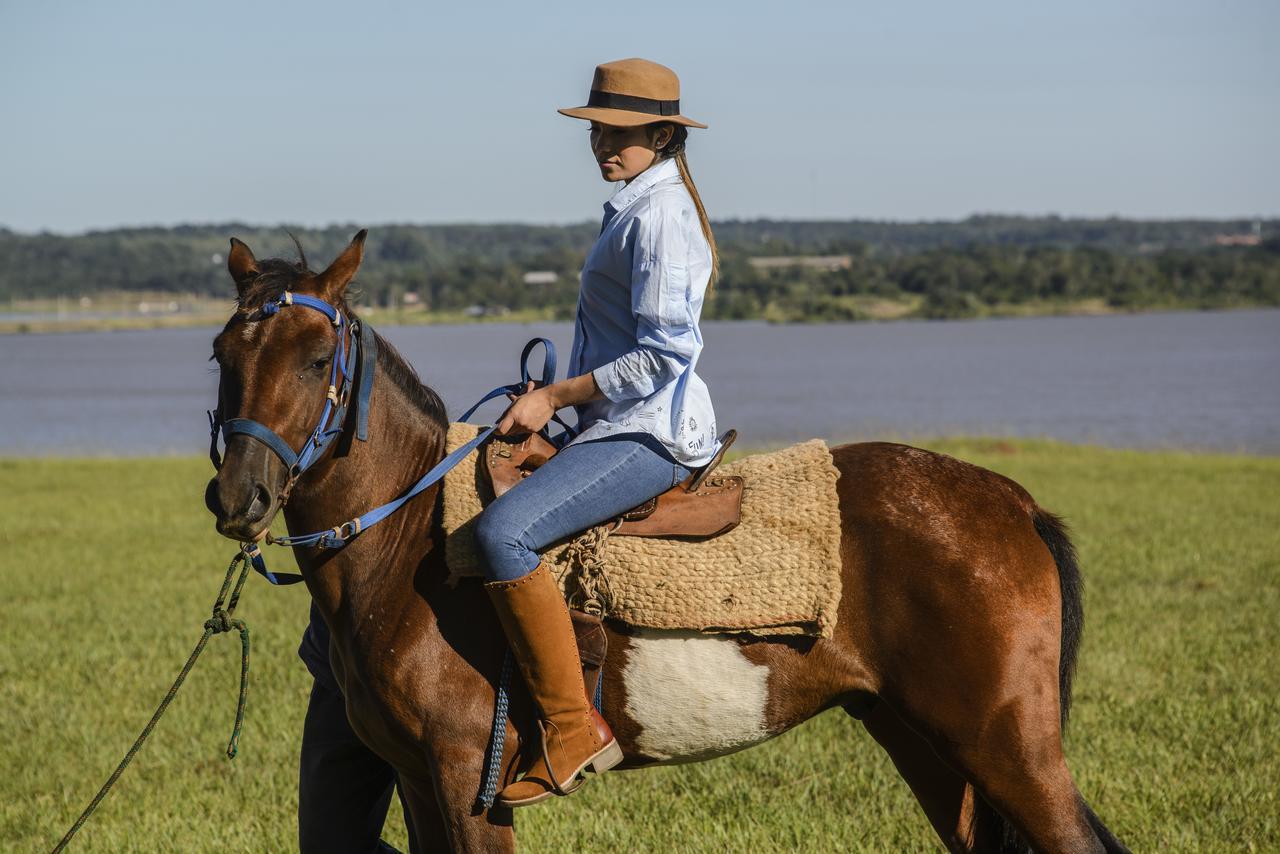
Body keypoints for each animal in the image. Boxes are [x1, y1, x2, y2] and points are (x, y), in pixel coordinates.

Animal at [204, 230, 1126, 850]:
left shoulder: (466, 775)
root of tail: (1012, 502)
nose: (240, 495)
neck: (406, 547)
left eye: (315, 356)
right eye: (221, 352)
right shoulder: (417, 782)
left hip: (1007, 748)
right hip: (927, 743)